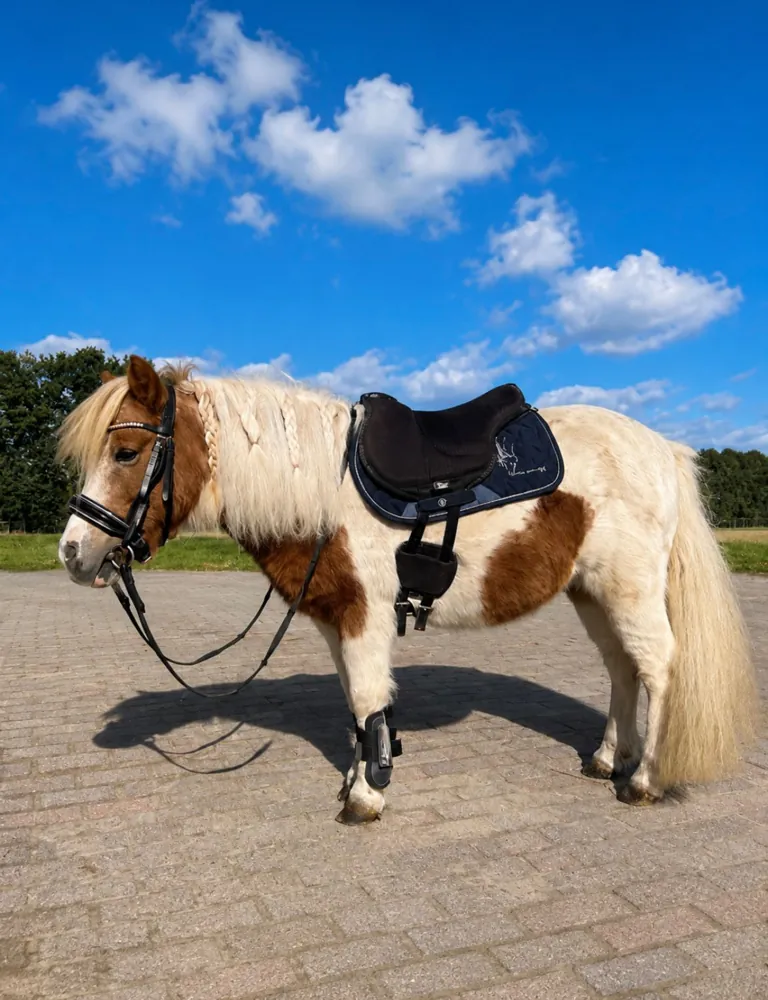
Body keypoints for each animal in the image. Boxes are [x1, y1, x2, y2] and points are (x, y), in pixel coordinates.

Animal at [57, 355, 757, 824]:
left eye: (125, 452)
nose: (72, 552)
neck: (322, 488)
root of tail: (663, 448)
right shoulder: (337, 617)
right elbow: (357, 705)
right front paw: (359, 774)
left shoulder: (364, 614)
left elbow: (369, 699)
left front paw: (367, 795)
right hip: (591, 593)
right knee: (620, 668)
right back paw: (608, 759)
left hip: (629, 590)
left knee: (657, 666)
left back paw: (643, 779)